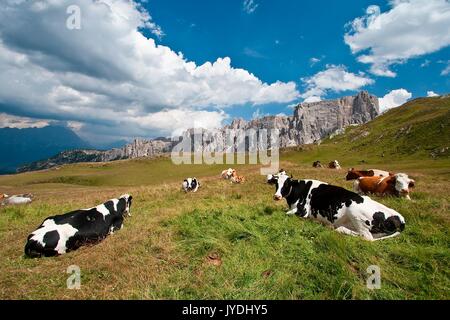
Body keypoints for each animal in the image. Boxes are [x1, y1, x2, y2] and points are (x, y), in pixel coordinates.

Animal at [266, 172, 406, 240]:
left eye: (287, 184)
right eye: (276, 183)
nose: (276, 196)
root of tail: (399, 217)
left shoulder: (303, 210)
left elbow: (286, 213)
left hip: (356, 214)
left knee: (367, 237)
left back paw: (337, 228)